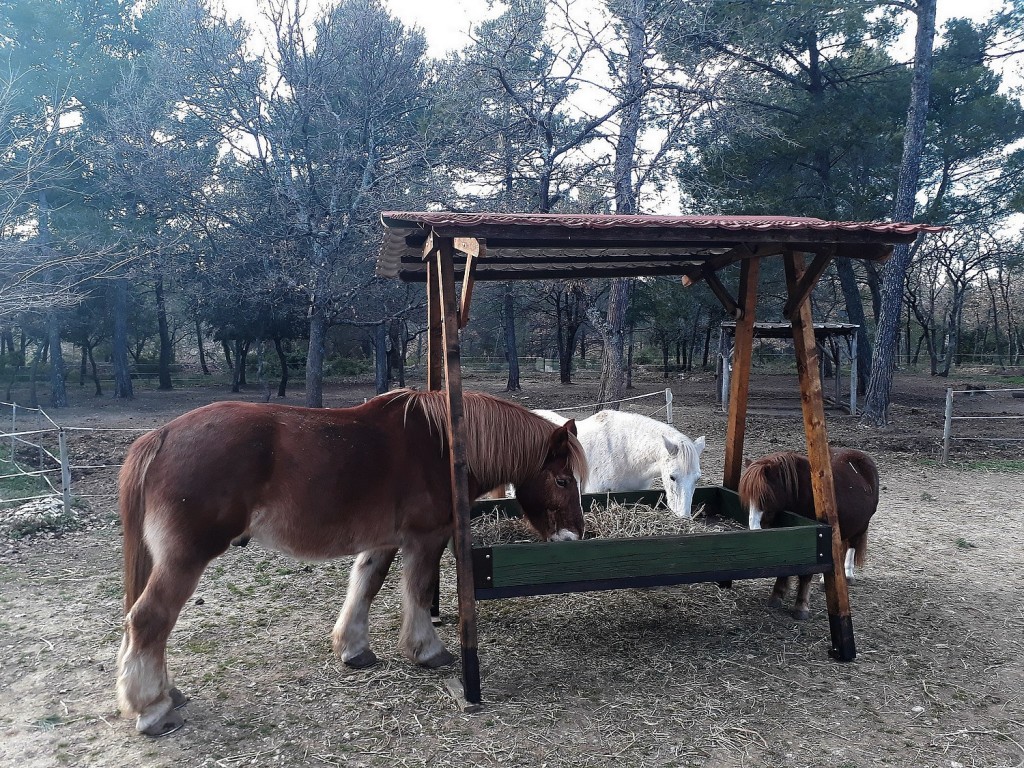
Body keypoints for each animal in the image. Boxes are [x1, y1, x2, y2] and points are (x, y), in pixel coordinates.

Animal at [114, 393, 585, 737]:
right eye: (563, 480)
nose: (575, 536)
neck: (442, 446)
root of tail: (162, 436)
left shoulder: (382, 542)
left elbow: (365, 586)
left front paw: (353, 649)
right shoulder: (426, 538)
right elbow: (417, 591)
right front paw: (427, 650)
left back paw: (166, 694)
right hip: (185, 558)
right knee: (149, 619)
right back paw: (153, 710)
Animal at [741, 448, 876, 622]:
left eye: (764, 497)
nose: (755, 528)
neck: (803, 493)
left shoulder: (815, 538)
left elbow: (805, 575)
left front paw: (801, 607)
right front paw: (777, 595)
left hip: (861, 527)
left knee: (851, 547)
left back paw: (848, 575)